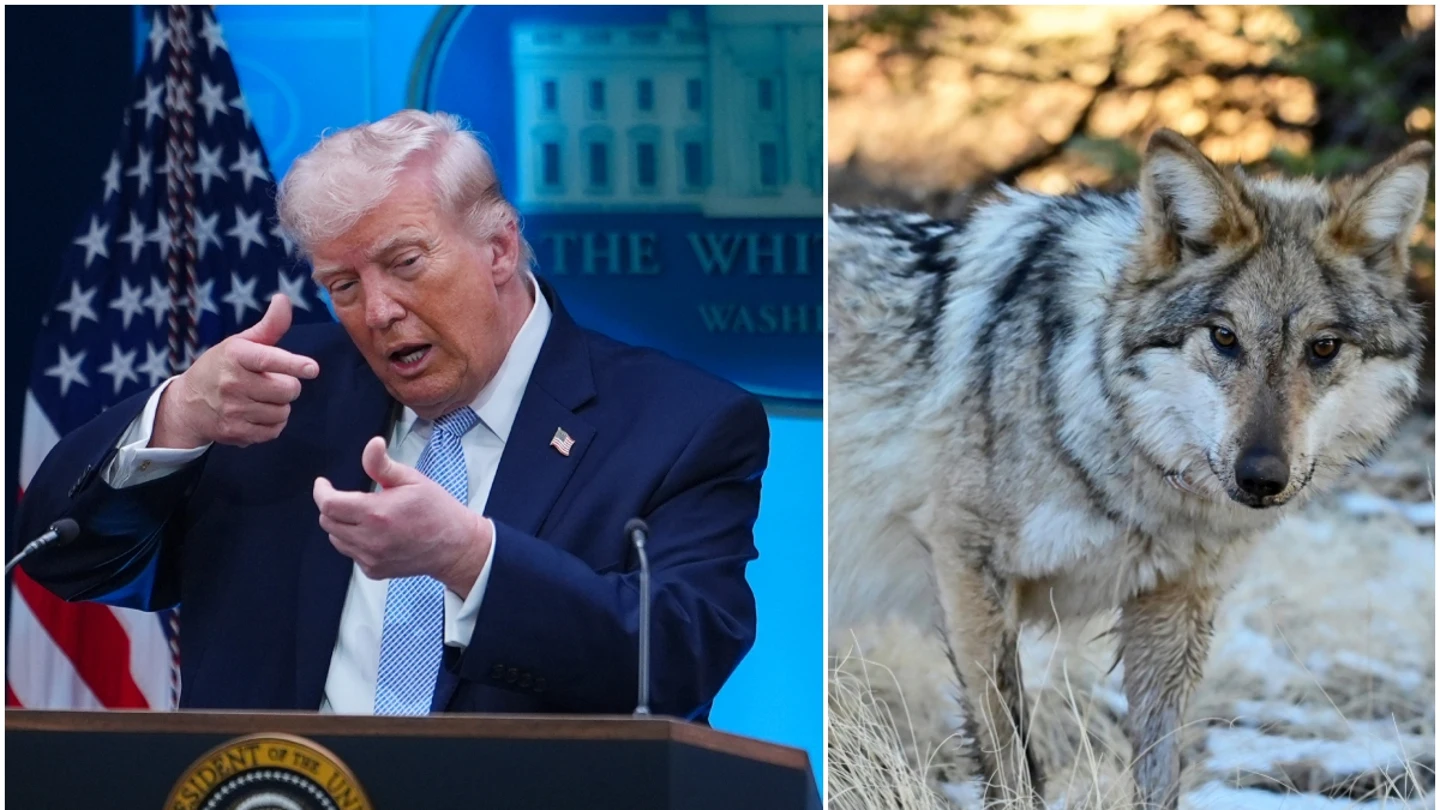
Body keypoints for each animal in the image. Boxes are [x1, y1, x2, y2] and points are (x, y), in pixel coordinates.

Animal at [828, 129, 1432, 809]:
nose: (1261, 477)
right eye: (1224, 338)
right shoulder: (966, 567)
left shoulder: (1171, 607)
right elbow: (1013, 763)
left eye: (1323, 348)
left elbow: (1160, 770)